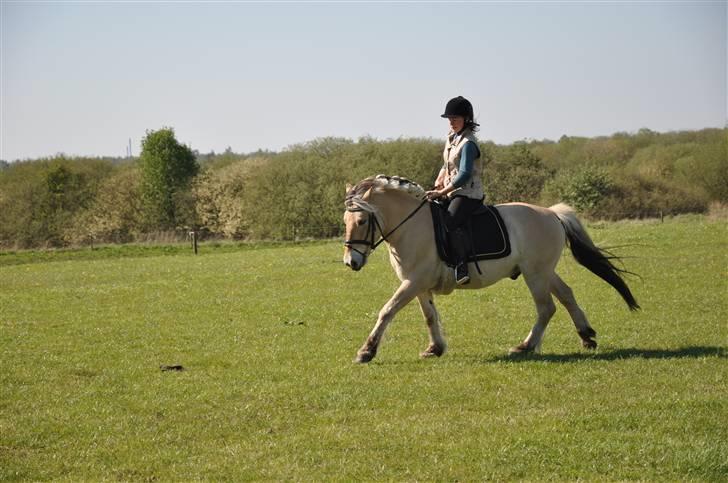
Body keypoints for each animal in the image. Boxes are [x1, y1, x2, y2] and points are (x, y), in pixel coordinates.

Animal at [342, 175, 636, 364]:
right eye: (345, 221)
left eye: (361, 220)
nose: (350, 262)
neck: (411, 226)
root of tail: (552, 214)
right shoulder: (418, 284)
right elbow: (429, 317)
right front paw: (435, 348)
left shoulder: (413, 282)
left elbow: (387, 311)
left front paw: (366, 352)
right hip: (543, 271)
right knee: (566, 295)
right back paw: (586, 336)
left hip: (535, 274)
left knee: (546, 307)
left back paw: (525, 346)